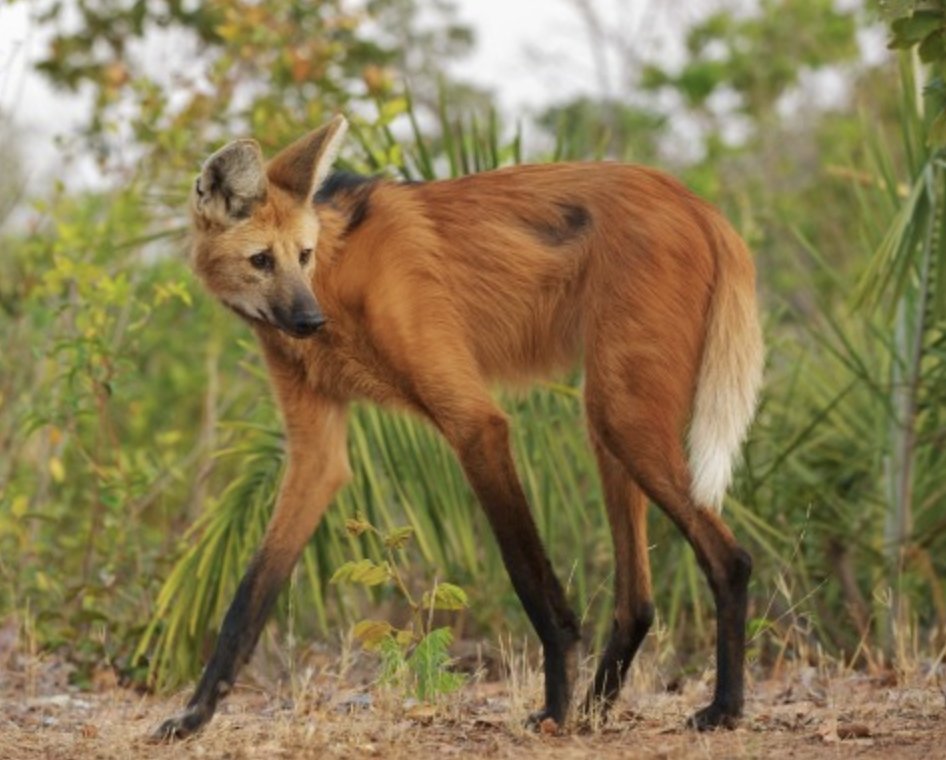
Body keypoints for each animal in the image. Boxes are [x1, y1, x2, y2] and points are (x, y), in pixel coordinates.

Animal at [153, 115, 764, 740]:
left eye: (303, 255)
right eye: (261, 260)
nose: (308, 319)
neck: (339, 279)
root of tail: (697, 203)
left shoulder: (476, 423)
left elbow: (526, 574)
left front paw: (553, 707)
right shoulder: (316, 455)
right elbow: (249, 595)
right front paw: (194, 715)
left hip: (623, 417)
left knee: (731, 560)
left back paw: (721, 708)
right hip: (609, 419)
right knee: (637, 600)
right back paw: (598, 709)